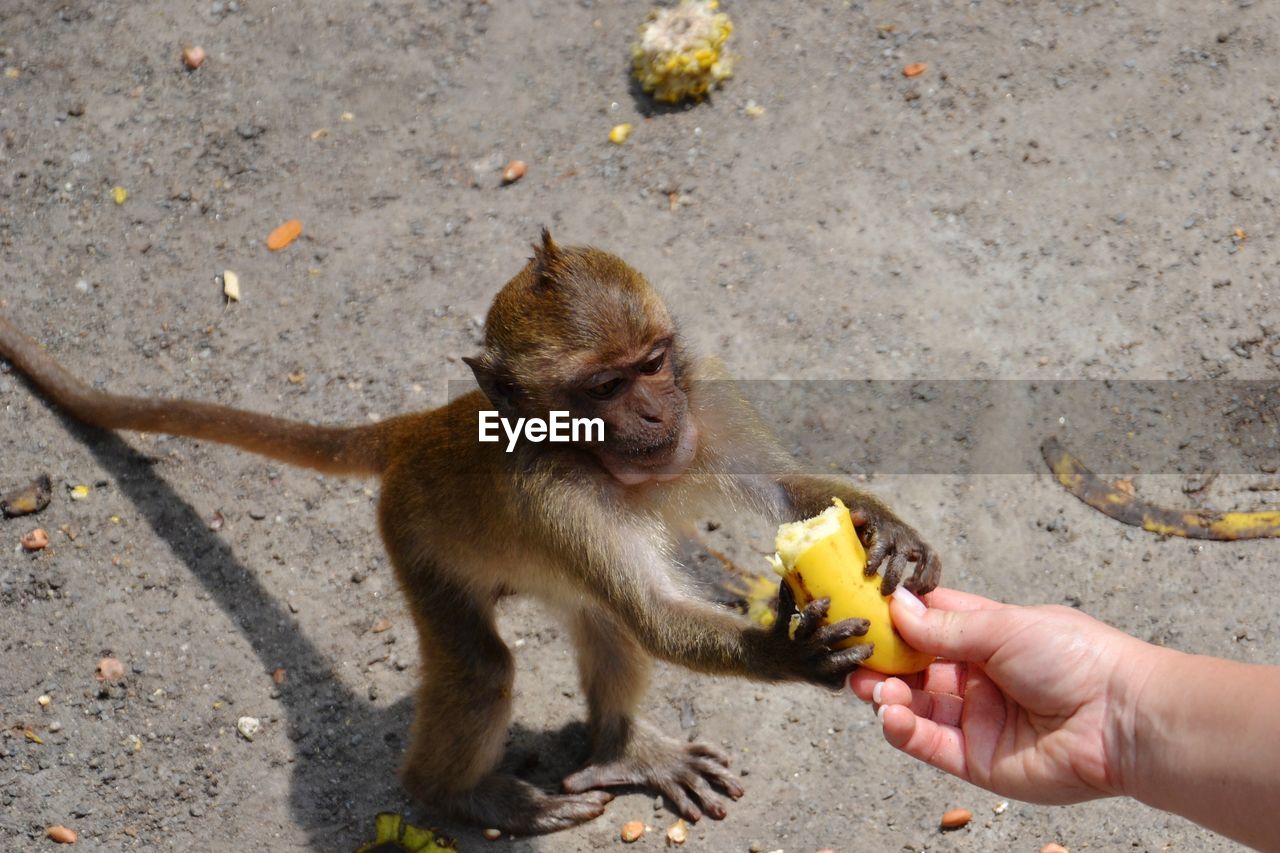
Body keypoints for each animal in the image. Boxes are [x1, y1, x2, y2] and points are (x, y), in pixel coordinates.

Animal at [0, 230, 942, 829]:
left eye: (650, 364)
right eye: (602, 387)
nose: (653, 412)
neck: (611, 465)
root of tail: (422, 428)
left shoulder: (705, 397)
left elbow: (786, 488)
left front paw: (893, 538)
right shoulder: (553, 498)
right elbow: (652, 616)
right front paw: (792, 651)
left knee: (596, 619)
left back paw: (623, 747)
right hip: (410, 536)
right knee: (491, 667)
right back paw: (458, 796)